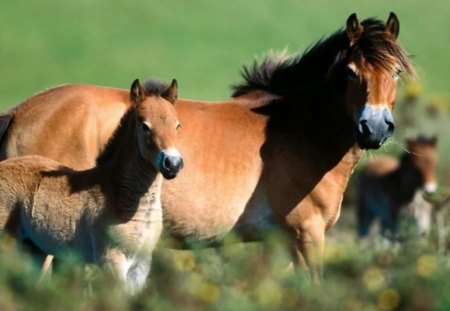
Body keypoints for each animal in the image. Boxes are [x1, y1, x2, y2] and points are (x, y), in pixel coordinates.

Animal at [0, 79, 183, 294]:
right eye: (144, 125)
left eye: (177, 125)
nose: (172, 164)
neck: (118, 194)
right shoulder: (111, 260)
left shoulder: (141, 265)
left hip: (34, 250)